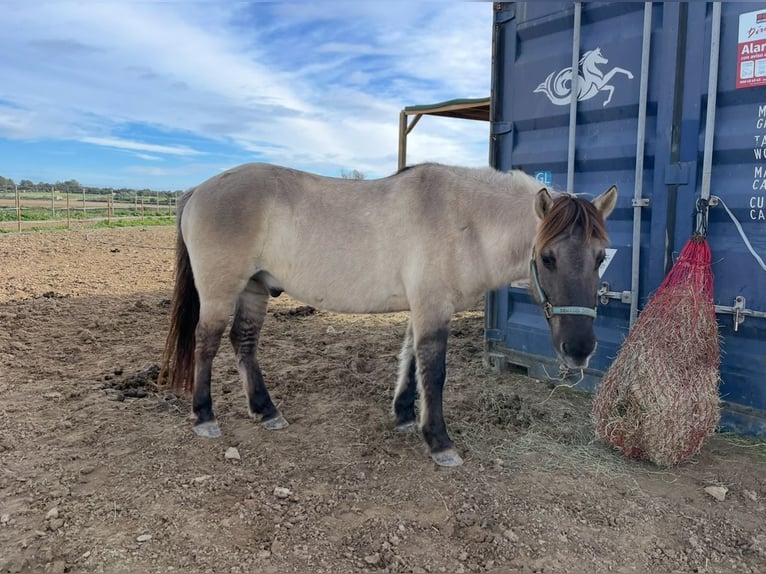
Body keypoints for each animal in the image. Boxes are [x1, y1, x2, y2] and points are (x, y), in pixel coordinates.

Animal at [160, 163, 616, 468]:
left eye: (600, 257)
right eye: (548, 257)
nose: (579, 350)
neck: (464, 219)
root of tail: (199, 189)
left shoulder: (424, 307)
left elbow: (410, 360)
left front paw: (404, 415)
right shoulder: (433, 308)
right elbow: (433, 371)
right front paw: (439, 441)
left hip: (255, 288)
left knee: (244, 343)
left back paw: (266, 410)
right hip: (222, 291)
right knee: (207, 343)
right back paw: (204, 416)